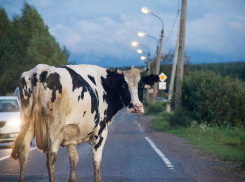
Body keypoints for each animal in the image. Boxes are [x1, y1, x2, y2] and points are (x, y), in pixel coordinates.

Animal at [11, 63, 159, 181]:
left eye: (141, 85)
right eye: (124, 85)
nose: (136, 107)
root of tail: (40, 70)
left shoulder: (70, 133)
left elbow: (73, 159)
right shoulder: (101, 132)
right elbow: (96, 161)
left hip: (26, 122)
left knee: (24, 154)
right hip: (55, 128)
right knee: (51, 158)